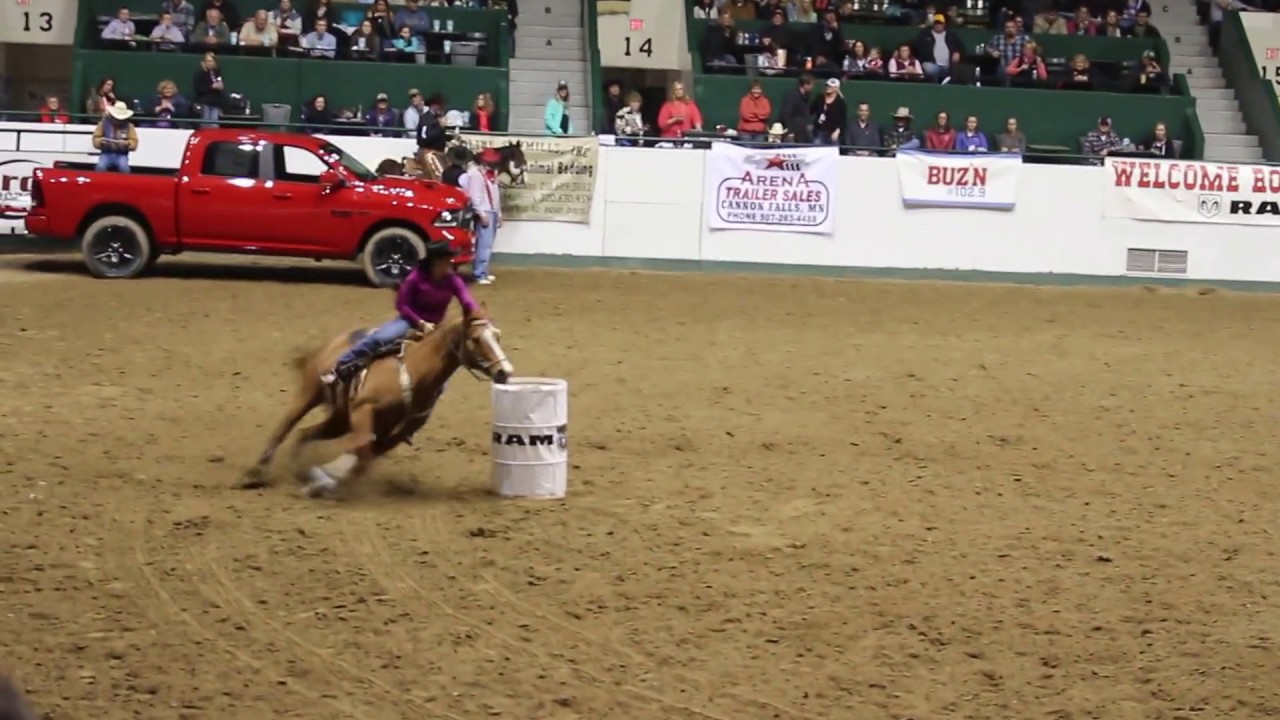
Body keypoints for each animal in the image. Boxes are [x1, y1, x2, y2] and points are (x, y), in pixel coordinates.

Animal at [238, 308, 512, 491]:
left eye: (497, 336)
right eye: (476, 338)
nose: (505, 372)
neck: (414, 370)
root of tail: (331, 344)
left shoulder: (397, 431)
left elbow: (366, 456)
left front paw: (326, 478)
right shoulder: (364, 411)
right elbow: (362, 448)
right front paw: (328, 475)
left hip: (340, 420)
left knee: (304, 433)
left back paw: (300, 471)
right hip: (309, 394)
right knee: (285, 427)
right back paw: (256, 472)